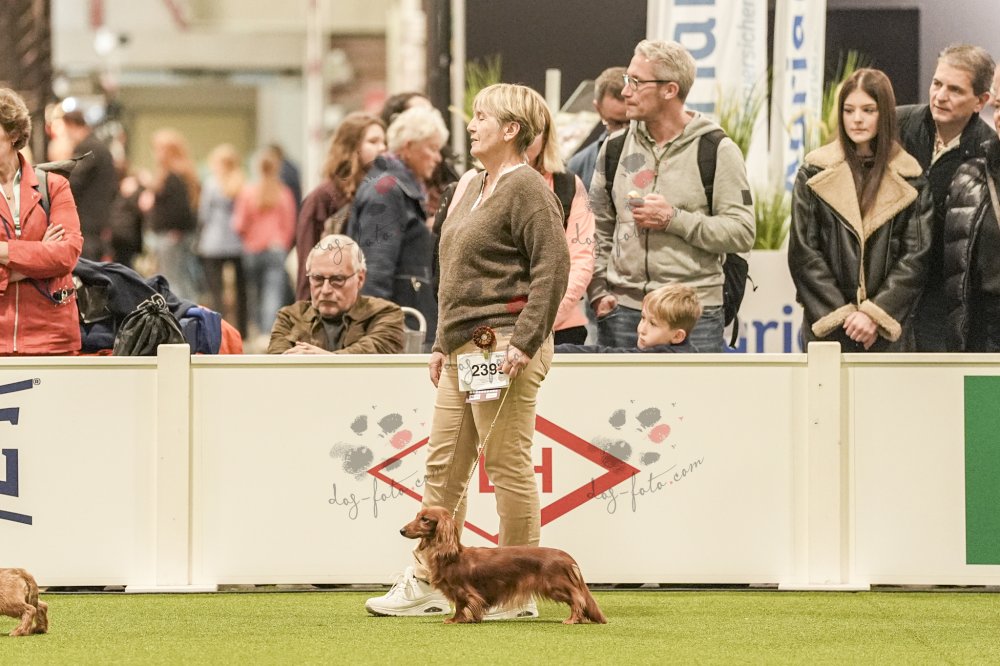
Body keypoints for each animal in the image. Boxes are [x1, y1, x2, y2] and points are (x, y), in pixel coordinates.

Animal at [400, 506, 606, 624]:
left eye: (425, 519)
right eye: (417, 516)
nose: (401, 530)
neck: (452, 556)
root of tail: (566, 556)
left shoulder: (464, 591)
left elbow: (462, 605)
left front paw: (456, 620)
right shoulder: (460, 593)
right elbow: (460, 606)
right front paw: (459, 619)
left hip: (555, 585)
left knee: (578, 598)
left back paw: (572, 619)